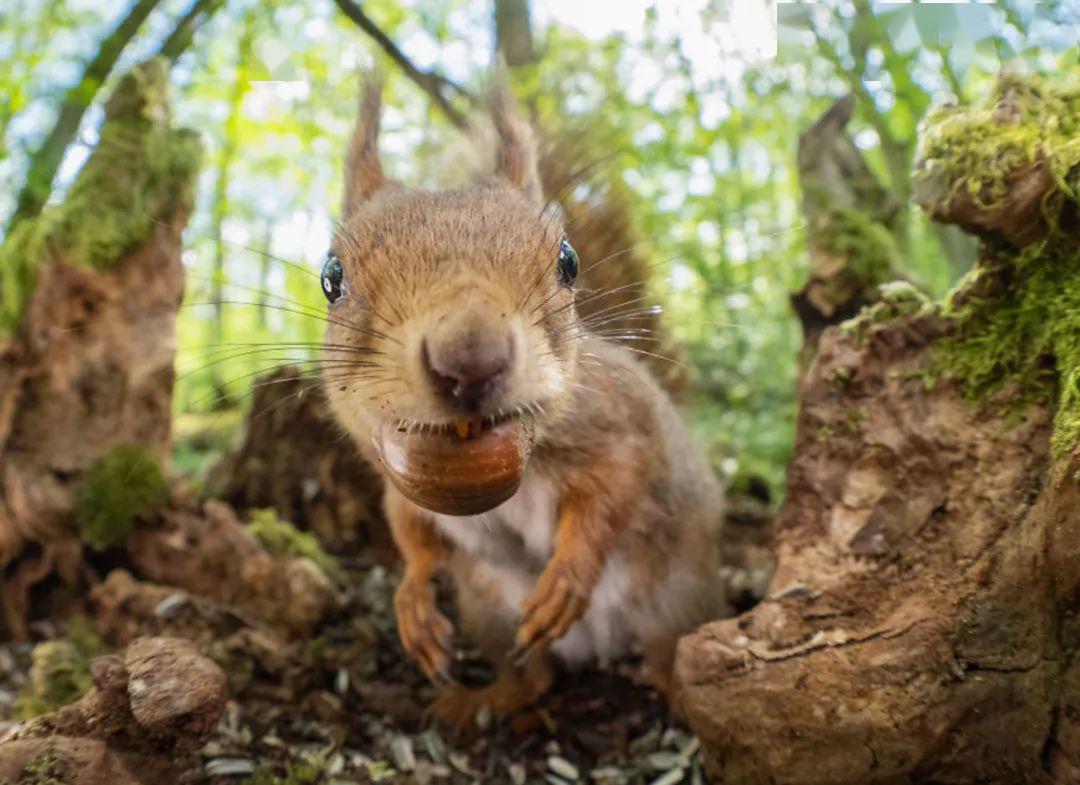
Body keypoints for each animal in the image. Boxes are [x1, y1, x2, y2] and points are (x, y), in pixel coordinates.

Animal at [319, 78, 725, 725]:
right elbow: (410, 533)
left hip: (676, 601)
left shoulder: (617, 425)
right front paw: (412, 600)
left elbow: (614, 488)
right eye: (331, 277)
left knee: (669, 657)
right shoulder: (396, 481)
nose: (470, 359)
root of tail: (599, 648)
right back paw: (479, 700)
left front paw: (568, 575)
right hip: (488, 609)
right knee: (531, 679)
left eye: (568, 261)